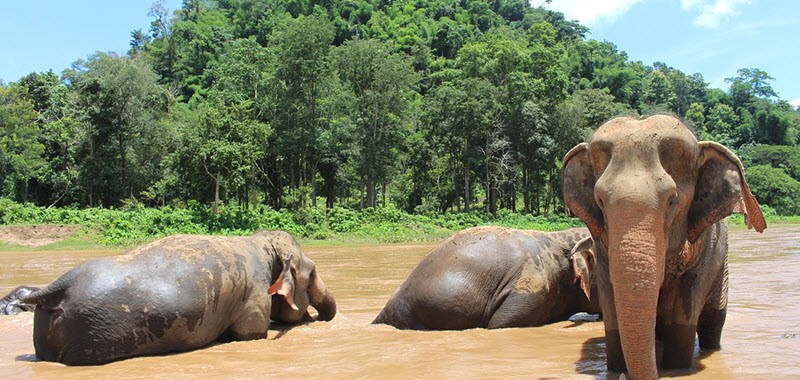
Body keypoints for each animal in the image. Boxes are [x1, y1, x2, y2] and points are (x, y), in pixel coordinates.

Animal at [21, 229, 334, 366]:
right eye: (312, 274)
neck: (263, 243)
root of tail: (59, 286)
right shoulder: (254, 295)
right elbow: (249, 335)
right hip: (90, 335)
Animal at [560, 114, 764, 378]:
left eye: (671, 200)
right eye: (600, 201)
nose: (626, 375)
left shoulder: (704, 249)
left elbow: (685, 305)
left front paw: (676, 368)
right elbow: (611, 302)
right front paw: (616, 369)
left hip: (722, 268)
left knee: (713, 322)